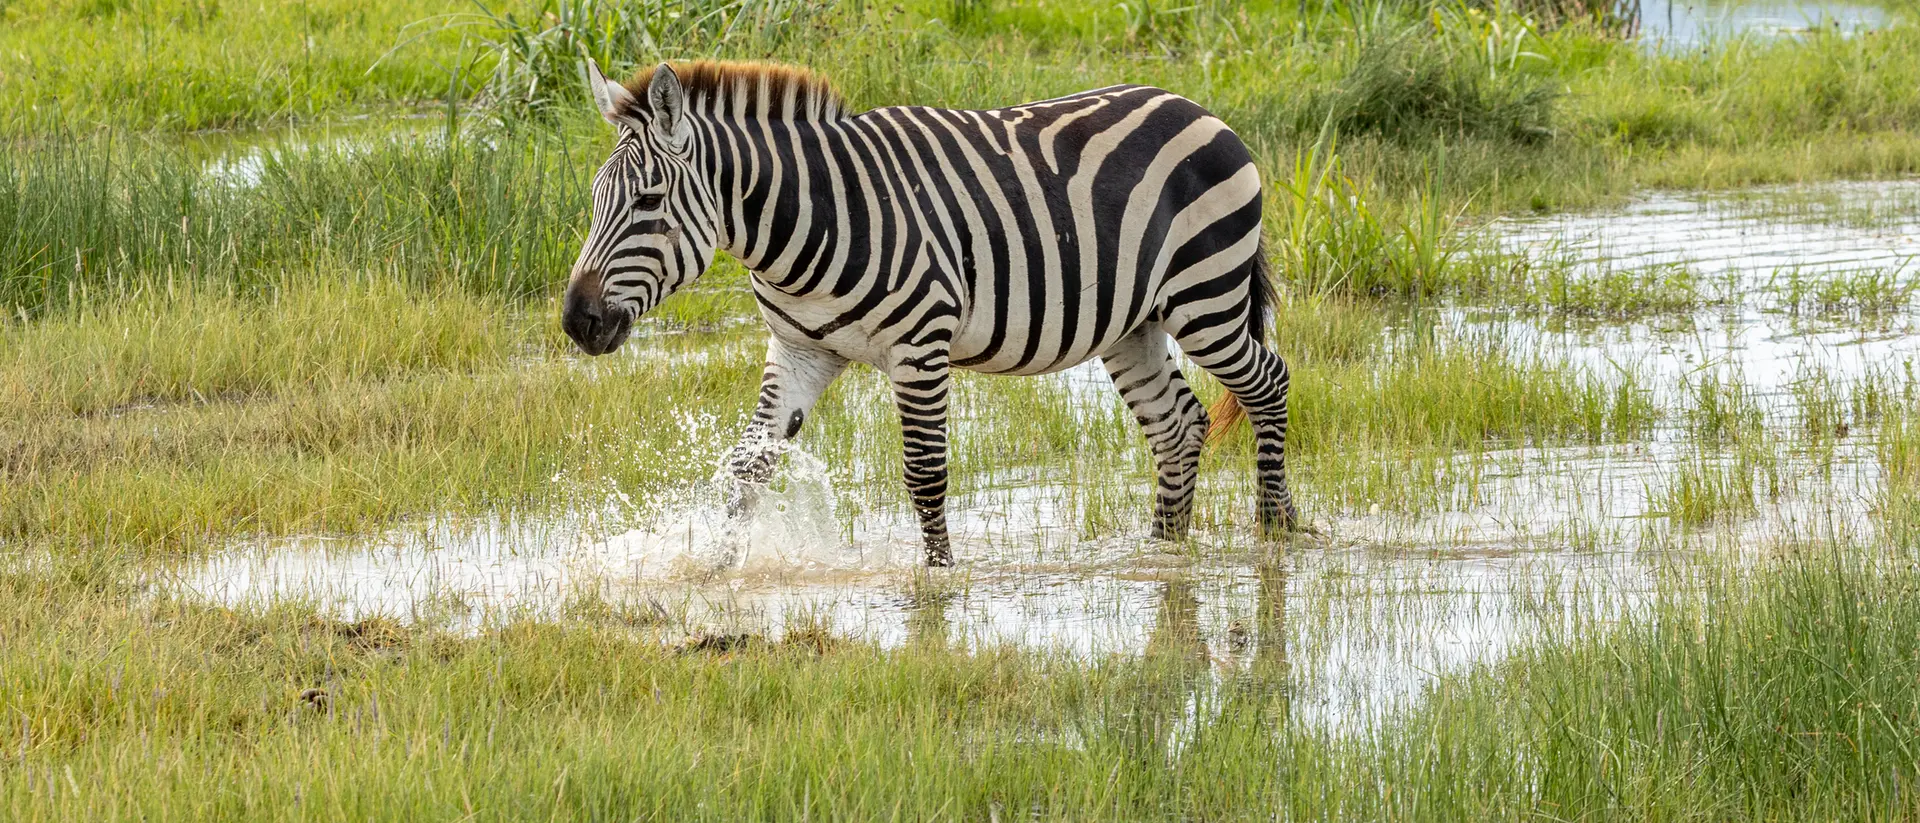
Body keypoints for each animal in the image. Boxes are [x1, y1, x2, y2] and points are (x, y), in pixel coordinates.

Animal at [562, 60, 1297, 567]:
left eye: (648, 200)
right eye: (596, 199)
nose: (577, 322)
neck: (810, 222)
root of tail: (1197, 109)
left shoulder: (920, 343)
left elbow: (923, 472)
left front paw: (938, 580)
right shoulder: (800, 350)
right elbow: (747, 470)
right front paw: (713, 570)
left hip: (1206, 296)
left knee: (1268, 383)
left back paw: (1277, 532)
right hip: (1131, 322)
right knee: (1177, 424)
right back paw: (1164, 552)